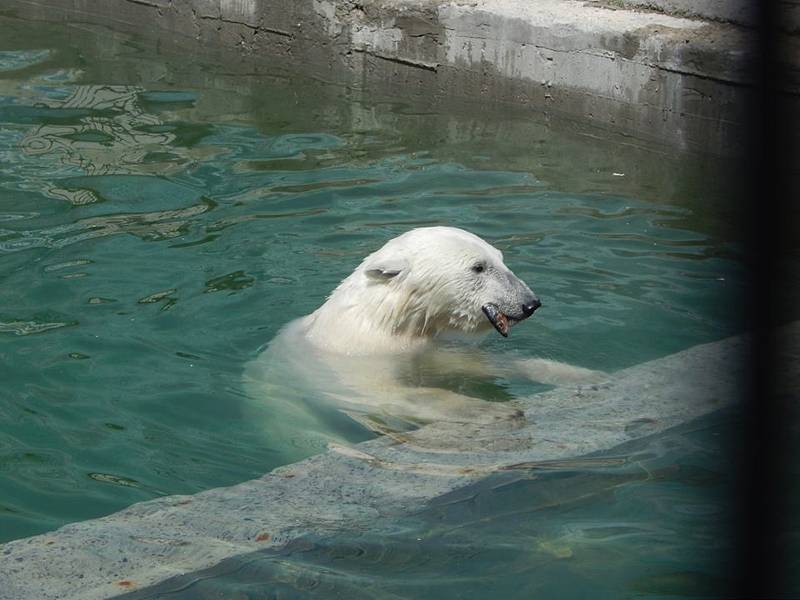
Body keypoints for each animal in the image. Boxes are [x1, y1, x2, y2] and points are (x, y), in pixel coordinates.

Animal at [244, 226, 600, 464]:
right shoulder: (355, 359)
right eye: (478, 267)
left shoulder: (422, 345)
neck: (384, 319)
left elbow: (471, 363)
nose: (530, 303)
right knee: (307, 435)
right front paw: (496, 411)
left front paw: (583, 376)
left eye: (500, 259)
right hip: (281, 403)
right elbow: (396, 394)